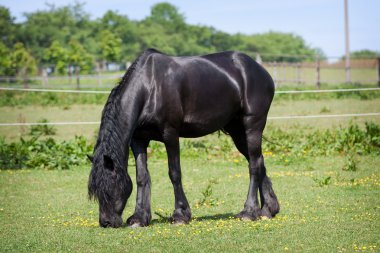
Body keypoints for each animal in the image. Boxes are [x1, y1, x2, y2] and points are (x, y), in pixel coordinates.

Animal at [88, 48, 280, 228]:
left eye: (110, 186)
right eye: (95, 191)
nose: (106, 222)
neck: (149, 88)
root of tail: (261, 71)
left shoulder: (170, 134)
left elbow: (174, 173)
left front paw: (180, 215)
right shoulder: (138, 140)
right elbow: (141, 176)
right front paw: (139, 218)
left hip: (252, 126)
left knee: (254, 165)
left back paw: (249, 211)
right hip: (237, 131)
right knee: (258, 161)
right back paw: (267, 210)